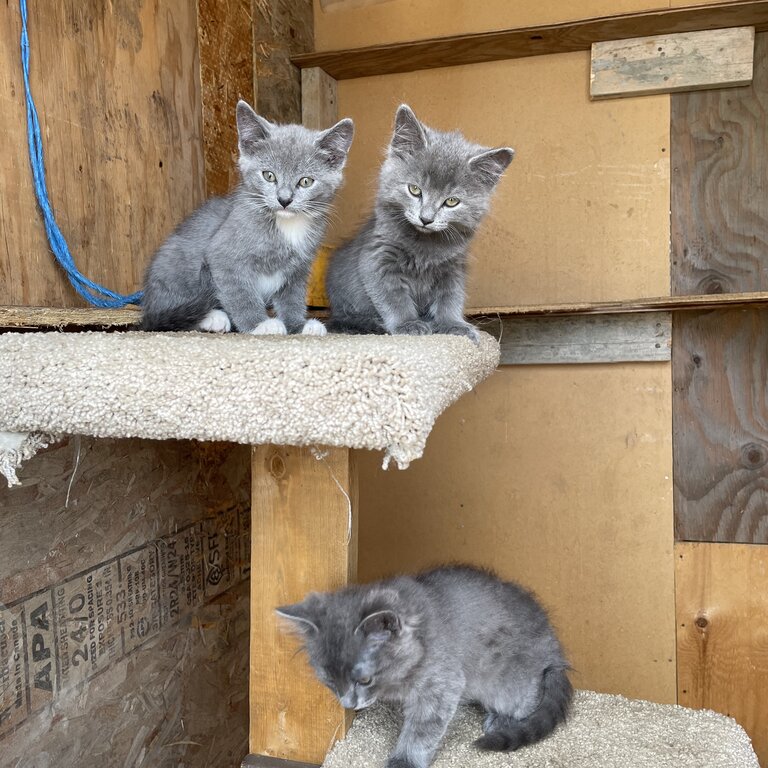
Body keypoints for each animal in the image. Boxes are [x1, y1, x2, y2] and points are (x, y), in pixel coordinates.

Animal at [142, 99, 356, 332]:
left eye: (306, 181)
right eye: (269, 176)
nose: (284, 199)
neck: (287, 225)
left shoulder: (299, 268)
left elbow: (292, 297)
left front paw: (298, 325)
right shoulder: (223, 255)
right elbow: (240, 294)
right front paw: (260, 325)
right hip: (175, 263)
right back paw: (211, 317)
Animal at [276, 564, 568, 768]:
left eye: (365, 680)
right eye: (329, 680)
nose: (347, 704)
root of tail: (555, 650)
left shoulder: (441, 685)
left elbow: (421, 731)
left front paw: (404, 761)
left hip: (507, 683)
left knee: (527, 701)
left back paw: (502, 719)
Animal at [326, 106, 516, 340]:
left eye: (451, 201)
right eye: (414, 190)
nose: (426, 218)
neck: (424, 248)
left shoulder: (452, 269)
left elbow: (450, 299)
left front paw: (453, 325)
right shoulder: (378, 259)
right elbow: (395, 299)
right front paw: (408, 325)